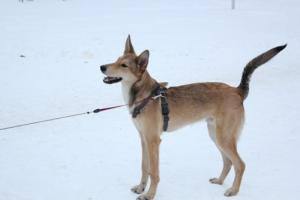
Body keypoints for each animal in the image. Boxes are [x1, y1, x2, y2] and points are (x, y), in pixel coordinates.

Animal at [100, 35, 286, 199]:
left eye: (123, 65)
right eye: (116, 60)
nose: (101, 67)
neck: (144, 95)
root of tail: (236, 90)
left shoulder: (153, 141)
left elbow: (154, 172)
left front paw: (150, 195)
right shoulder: (144, 139)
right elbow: (144, 167)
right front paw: (141, 188)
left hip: (223, 138)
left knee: (240, 164)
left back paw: (233, 191)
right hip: (215, 135)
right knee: (228, 162)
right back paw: (219, 181)